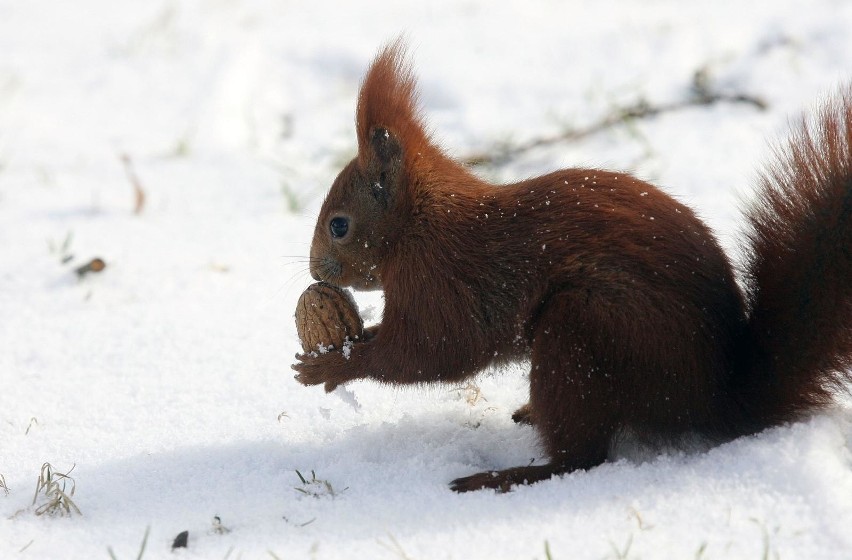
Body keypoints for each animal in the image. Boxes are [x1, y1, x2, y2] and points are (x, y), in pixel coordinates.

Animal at [292, 39, 852, 492]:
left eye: (339, 225)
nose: (317, 272)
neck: (419, 220)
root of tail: (714, 397)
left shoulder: (443, 278)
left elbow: (432, 351)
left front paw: (333, 365)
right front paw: (351, 341)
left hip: (585, 331)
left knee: (582, 457)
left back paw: (505, 476)